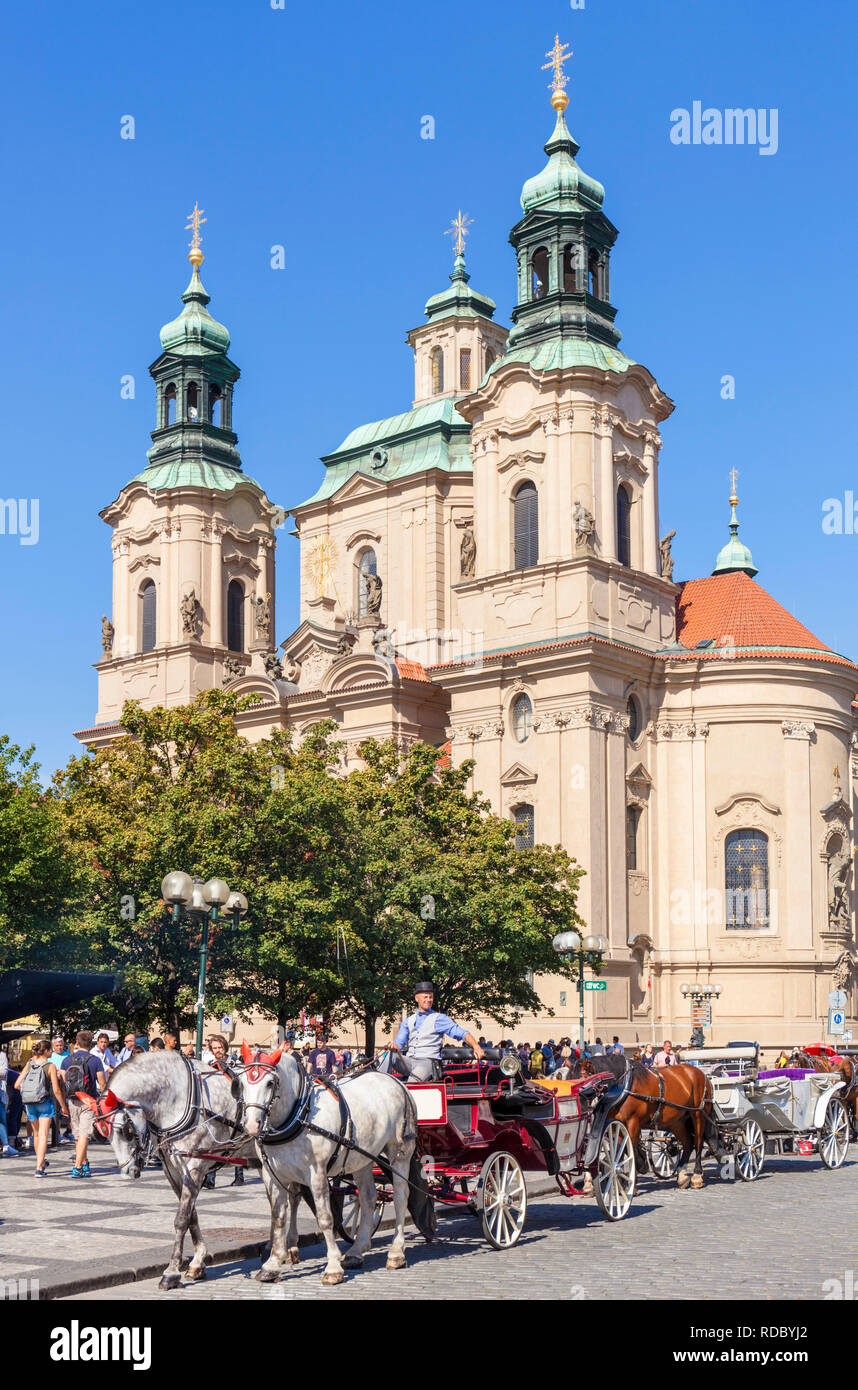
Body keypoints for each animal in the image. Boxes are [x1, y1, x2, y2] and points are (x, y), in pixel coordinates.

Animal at [78, 1050, 254, 1289]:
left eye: (125, 1130)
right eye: (100, 1133)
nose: (127, 1171)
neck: (181, 1097)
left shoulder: (195, 1166)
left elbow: (181, 1219)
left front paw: (171, 1273)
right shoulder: (173, 1169)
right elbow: (191, 1215)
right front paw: (197, 1262)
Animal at [236, 1045, 431, 1278]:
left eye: (270, 1083)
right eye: (241, 1083)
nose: (251, 1125)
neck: (299, 1114)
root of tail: (396, 1082)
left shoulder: (317, 1173)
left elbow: (325, 1217)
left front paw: (332, 1267)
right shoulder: (273, 1175)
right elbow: (278, 1216)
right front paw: (272, 1265)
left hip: (399, 1152)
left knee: (401, 1196)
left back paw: (396, 1252)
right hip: (364, 1157)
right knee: (367, 1198)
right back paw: (357, 1250)